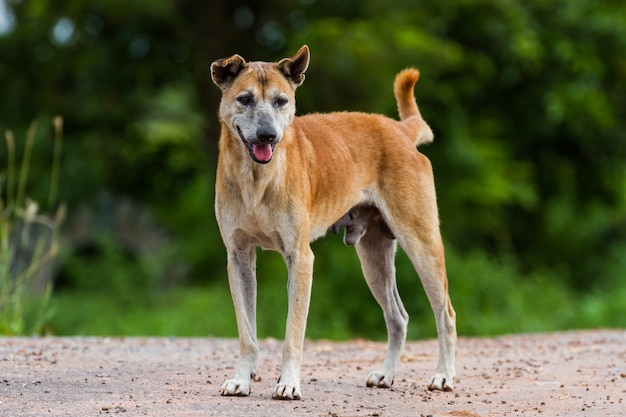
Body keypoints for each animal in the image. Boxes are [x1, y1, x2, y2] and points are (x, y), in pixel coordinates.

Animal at [210, 45, 454, 400]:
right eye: (244, 99)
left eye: (281, 101)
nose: (268, 135)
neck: (256, 180)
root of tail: (399, 130)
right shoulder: (239, 258)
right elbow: (247, 334)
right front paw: (241, 380)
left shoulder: (300, 259)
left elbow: (293, 334)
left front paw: (288, 383)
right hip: (374, 258)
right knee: (398, 317)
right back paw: (386, 374)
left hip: (423, 246)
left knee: (445, 314)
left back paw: (444, 375)